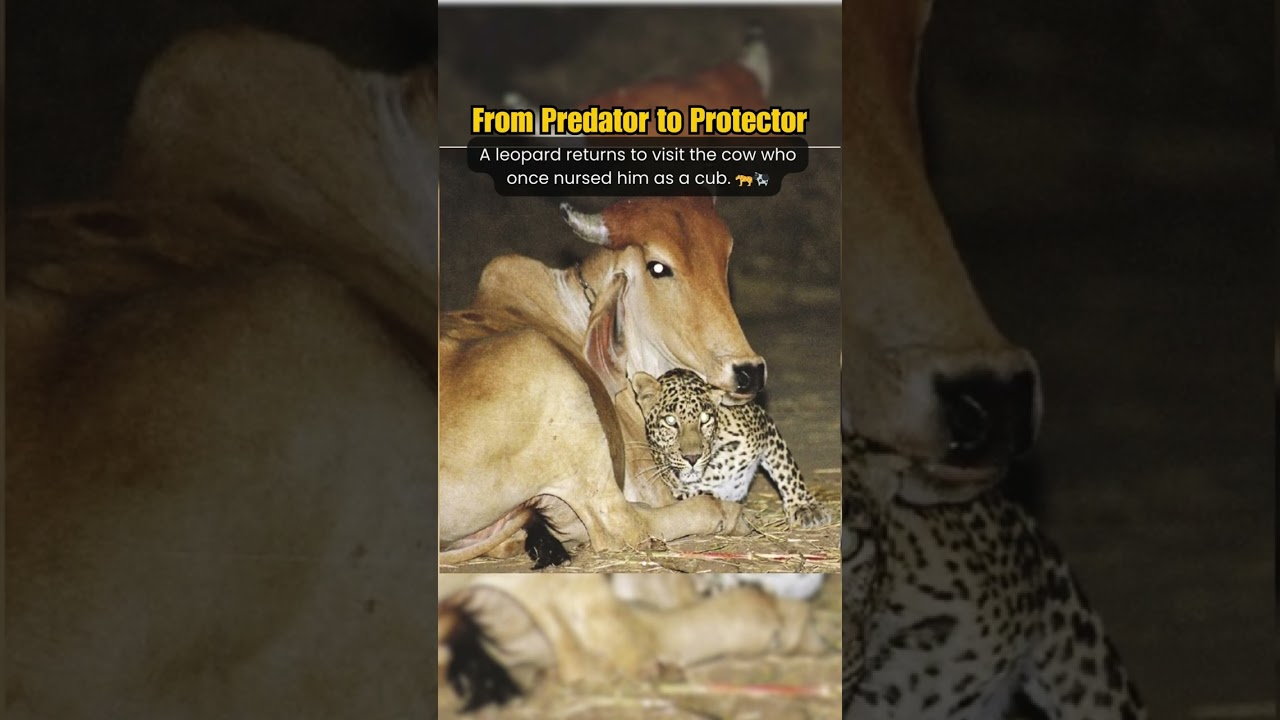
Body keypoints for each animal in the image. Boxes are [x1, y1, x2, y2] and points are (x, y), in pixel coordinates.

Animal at [631, 368, 830, 529]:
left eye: (705, 418)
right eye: (670, 421)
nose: (693, 458)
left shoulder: (765, 426)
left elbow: (787, 470)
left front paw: (805, 507)